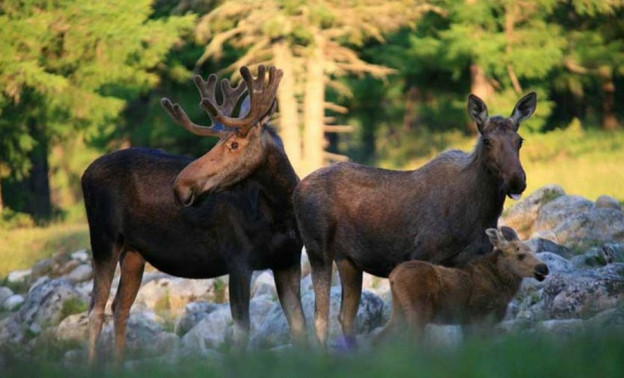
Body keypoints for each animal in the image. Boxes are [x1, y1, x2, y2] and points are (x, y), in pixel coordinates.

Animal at [81, 66, 306, 364]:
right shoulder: (238, 259)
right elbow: (241, 332)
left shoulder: (288, 261)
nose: (181, 186)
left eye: (234, 144)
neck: (280, 214)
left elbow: (301, 327)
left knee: (120, 306)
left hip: (134, 253)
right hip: (103, 239)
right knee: (96, 308)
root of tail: (85, 174)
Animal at [294, 91, 540, 348]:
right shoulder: (424, 253)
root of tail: (296, 189)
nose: (516, 180)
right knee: (320, 317)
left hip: (348, 260)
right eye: (487, 141)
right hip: (317, 247)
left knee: (345, 316)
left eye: (519, 140)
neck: (482, 213)